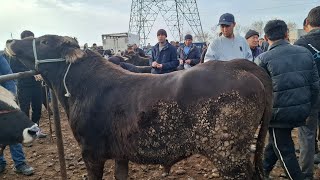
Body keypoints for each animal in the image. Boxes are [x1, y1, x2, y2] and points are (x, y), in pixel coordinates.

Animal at [5, 34, 272, 179]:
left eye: (44, 40)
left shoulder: (90, 152)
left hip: (229, 155)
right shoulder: (120, 155)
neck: (80, 87)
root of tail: (236, 65)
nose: (9, 40)